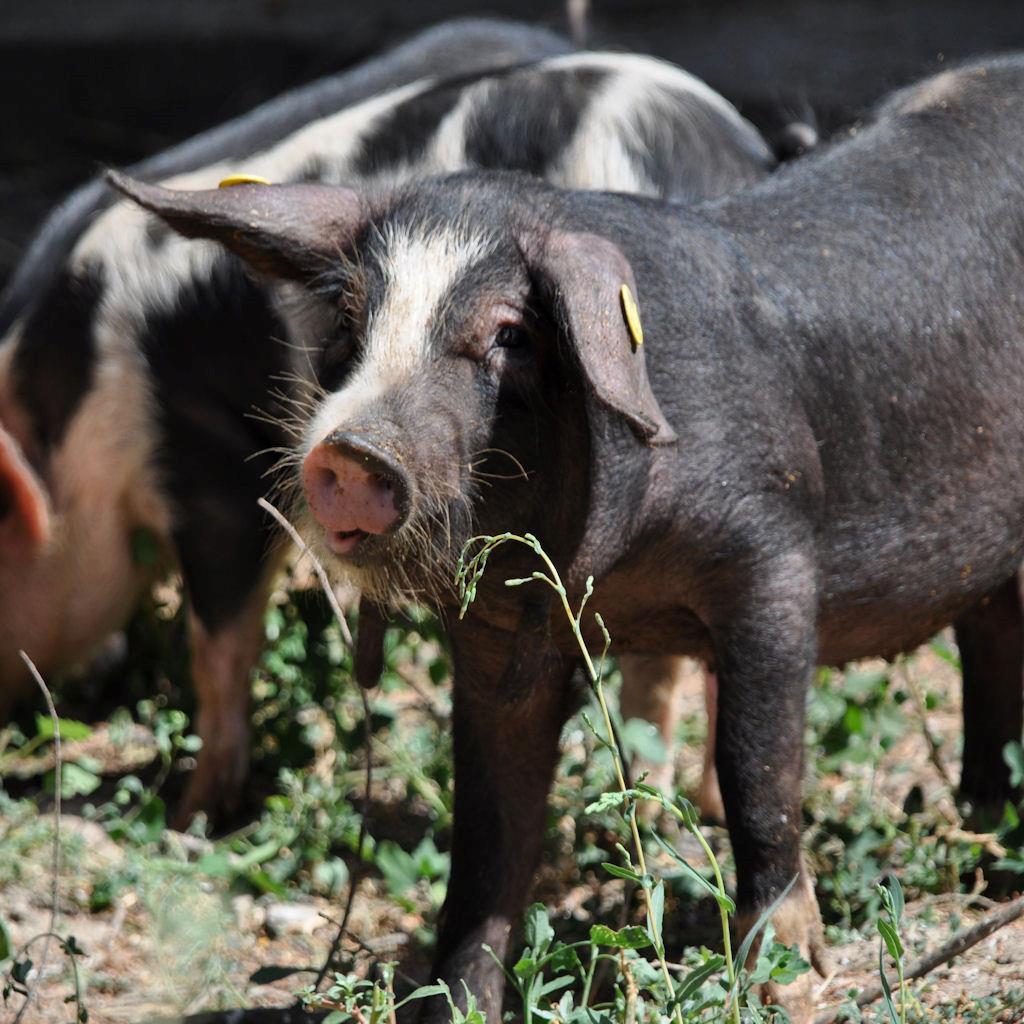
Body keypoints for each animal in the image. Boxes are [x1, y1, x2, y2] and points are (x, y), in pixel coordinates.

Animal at [114, 51, 1024, 1019]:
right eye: (349, 323)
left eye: (511, 335)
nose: (352, 451)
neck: (608, 573)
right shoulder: (495, 632)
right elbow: (489, 828)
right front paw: (457, 1001)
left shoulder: (774, 554)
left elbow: (757, 766)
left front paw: (781, 972)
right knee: (993, 636)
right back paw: (983, 818)